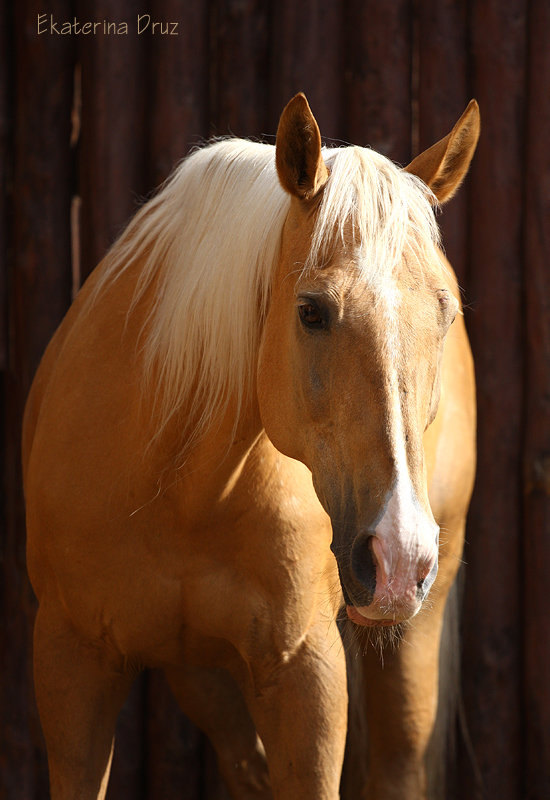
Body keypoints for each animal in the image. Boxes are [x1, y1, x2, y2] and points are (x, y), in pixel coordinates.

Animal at [22, 90, 478, 796]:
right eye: (311, 311)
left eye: (446, 312)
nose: (398, 555)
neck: (183, 487)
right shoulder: (71, 661)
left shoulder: (306, 673)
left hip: (416, 622)